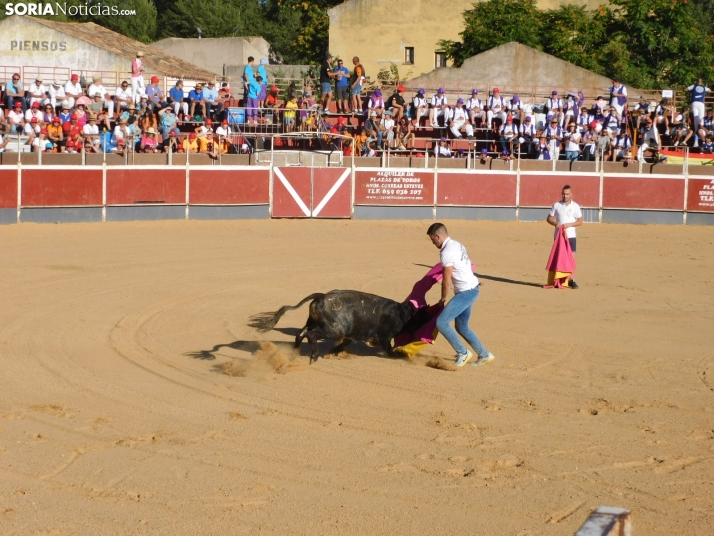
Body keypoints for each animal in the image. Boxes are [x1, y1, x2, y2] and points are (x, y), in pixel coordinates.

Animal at [248, 292, 426, 362]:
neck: (402, 313)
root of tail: (321, 296)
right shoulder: (385, 337)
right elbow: (388, 348)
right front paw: (398, 355)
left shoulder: (352, 335)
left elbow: (345, 343)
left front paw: (334, 351)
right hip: (334, 329)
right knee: (311, 335)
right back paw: (314, 356)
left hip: (314, 322)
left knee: (301, 333)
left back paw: (294, 352)